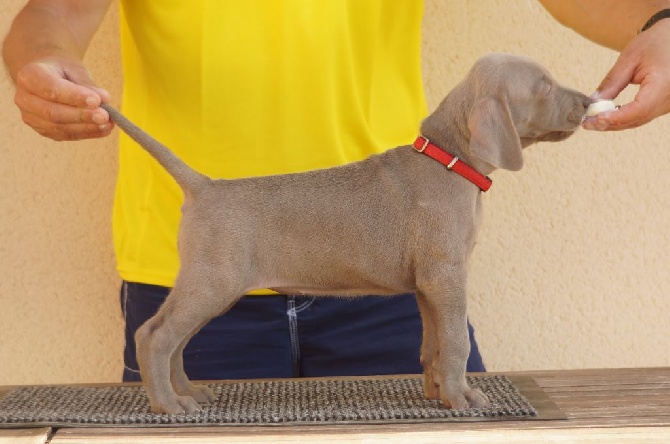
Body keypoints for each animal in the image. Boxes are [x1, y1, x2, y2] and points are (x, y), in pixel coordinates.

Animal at [102, 53, 592, 414]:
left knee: (176, 340)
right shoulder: (446, 275)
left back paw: (188, 392)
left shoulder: (426, 285)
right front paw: (462, 397)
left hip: (212, 285)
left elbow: (431, 343)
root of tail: (204, 185)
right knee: (154, 335)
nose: (588, 101)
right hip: (213, 280)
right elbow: (455, 341)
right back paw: (169, 405)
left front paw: (437, 392)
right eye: (544, 85)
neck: (448, 159)